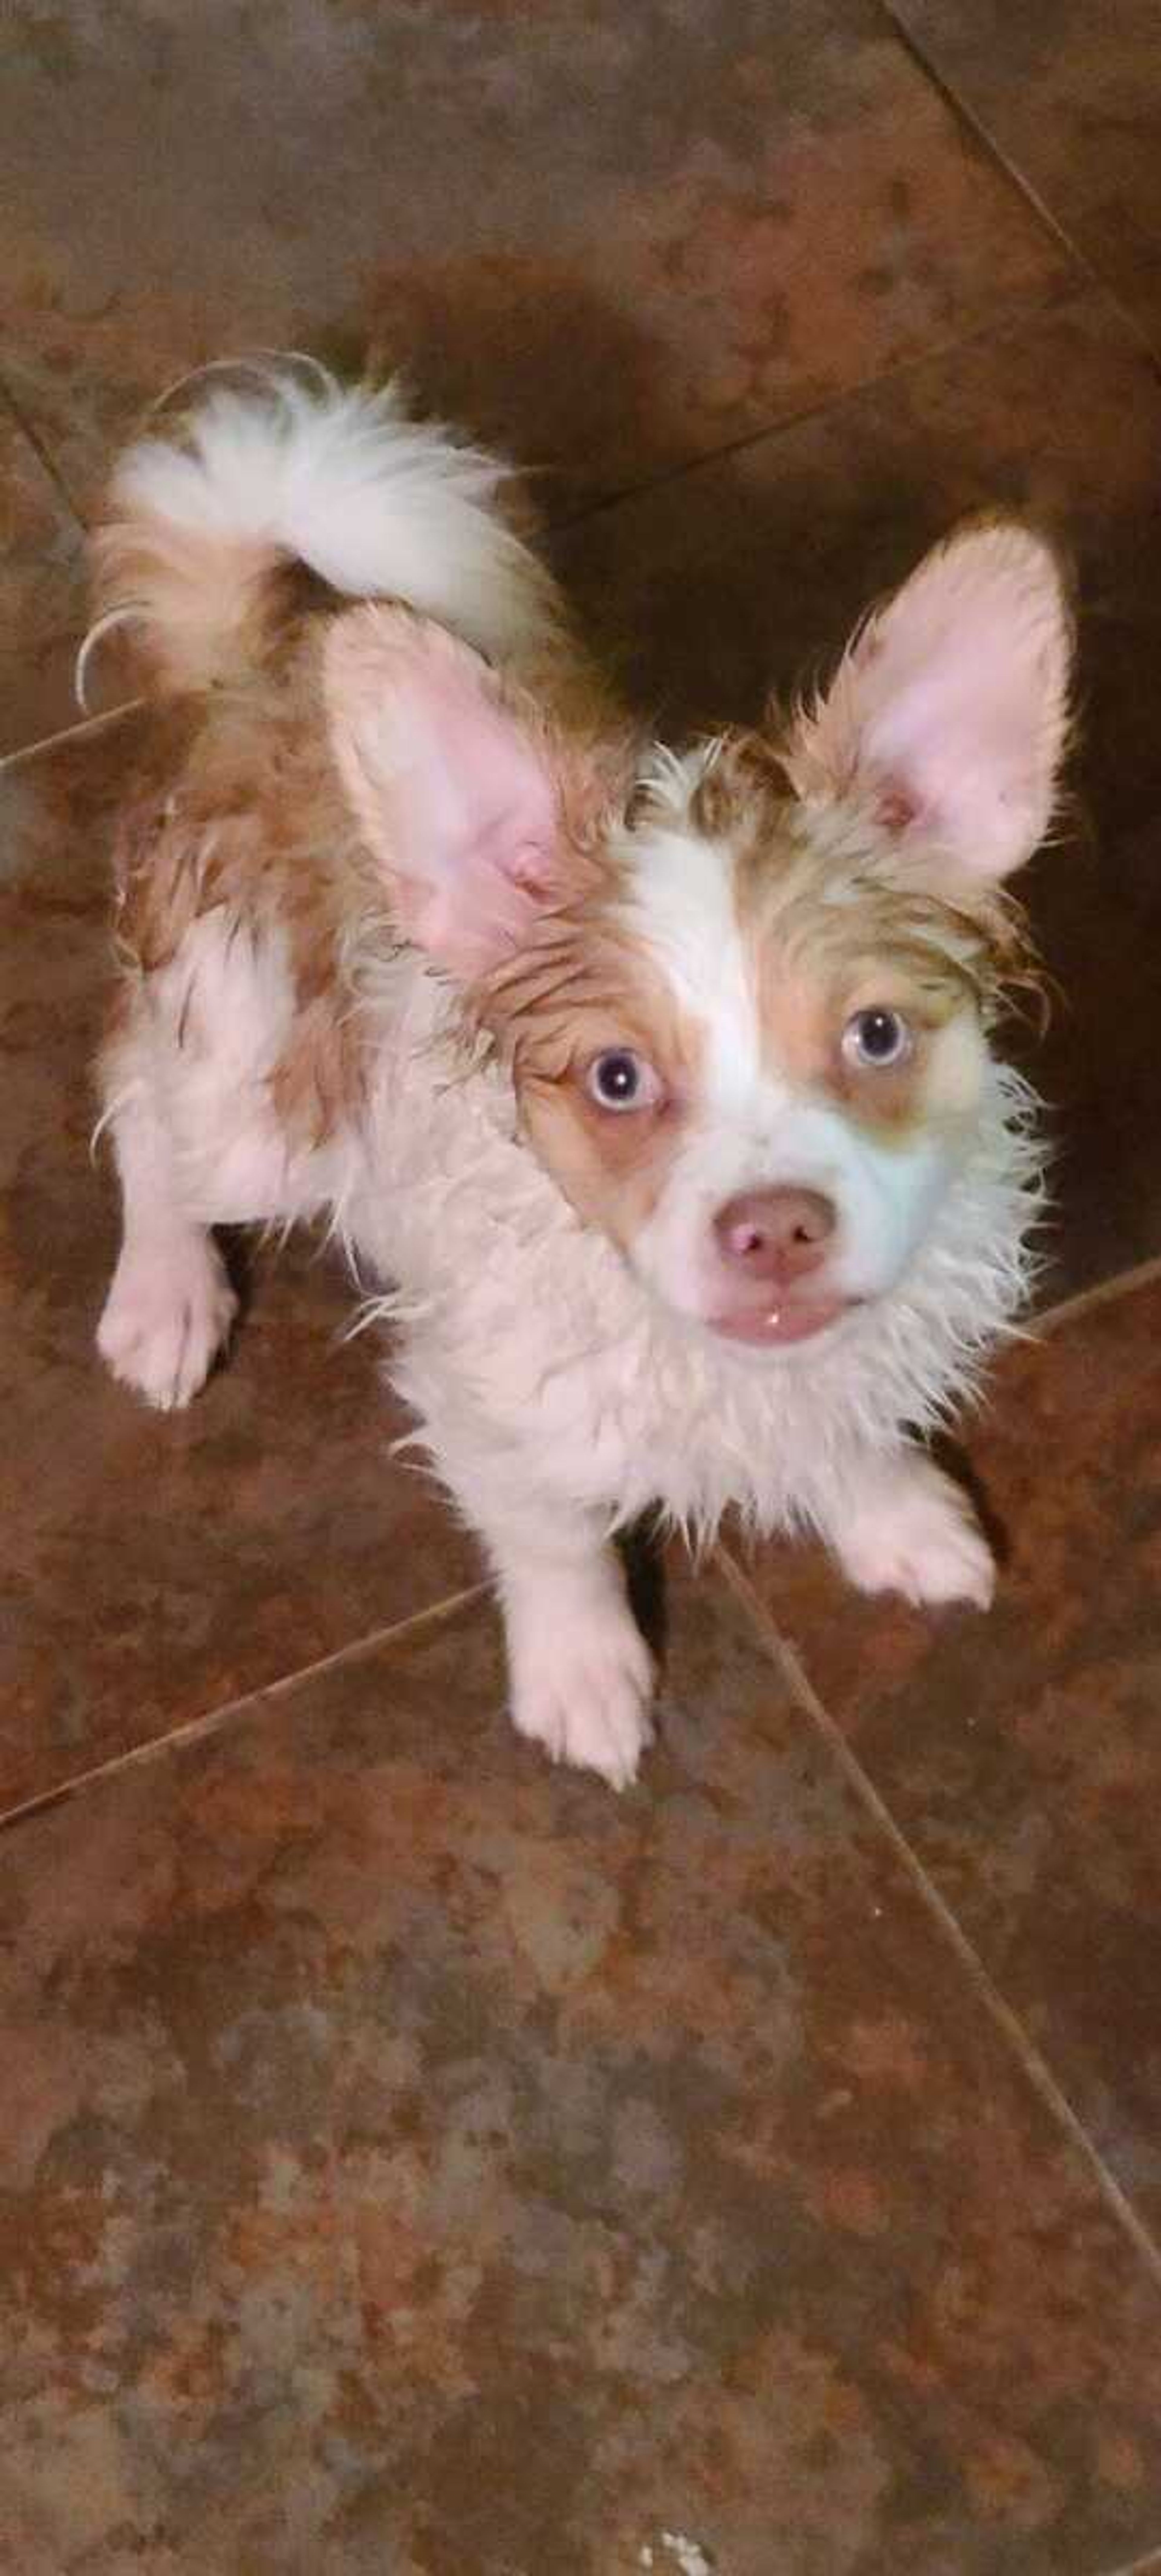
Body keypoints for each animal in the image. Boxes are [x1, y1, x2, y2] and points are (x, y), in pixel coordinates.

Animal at [89, 363, 1071, 1782]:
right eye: (615, 1079)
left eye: (877, 1037)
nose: (775, 1228)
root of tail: (265, 666)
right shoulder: (491, 1397)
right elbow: (552, 1537)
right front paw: (584, 1675)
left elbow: (848, 1423)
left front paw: (892, 1516)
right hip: (250, 1084)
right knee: (138, 1107)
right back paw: (164, 1299)